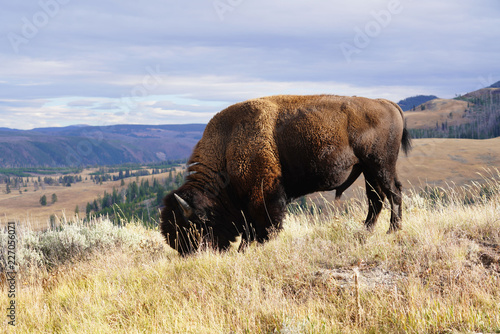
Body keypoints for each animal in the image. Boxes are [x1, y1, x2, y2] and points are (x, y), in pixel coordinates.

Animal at [162, 95, 412, 254]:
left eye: (191, 228)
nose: (190, 254)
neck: (228, 144)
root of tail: (385, 103)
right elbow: (249, 228)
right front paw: (244, 249)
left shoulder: (264, 195)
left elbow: (265, 226)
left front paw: (255, 247)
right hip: (367, 170)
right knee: (376, 199)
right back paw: (365, 231)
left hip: (381, 165)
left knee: (393, 193)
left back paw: (392, 230)